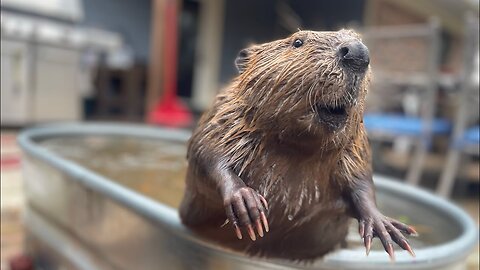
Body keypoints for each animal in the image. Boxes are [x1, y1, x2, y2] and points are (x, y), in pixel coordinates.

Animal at [179, 29, 416, 260]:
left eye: (356, 36)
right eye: (298, 42)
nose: (358, 52)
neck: (297, 150)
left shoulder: (355, 146)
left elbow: (362, 180)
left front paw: (385, 226)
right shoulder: (225, 116)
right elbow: (205, 153)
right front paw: (247, 202)